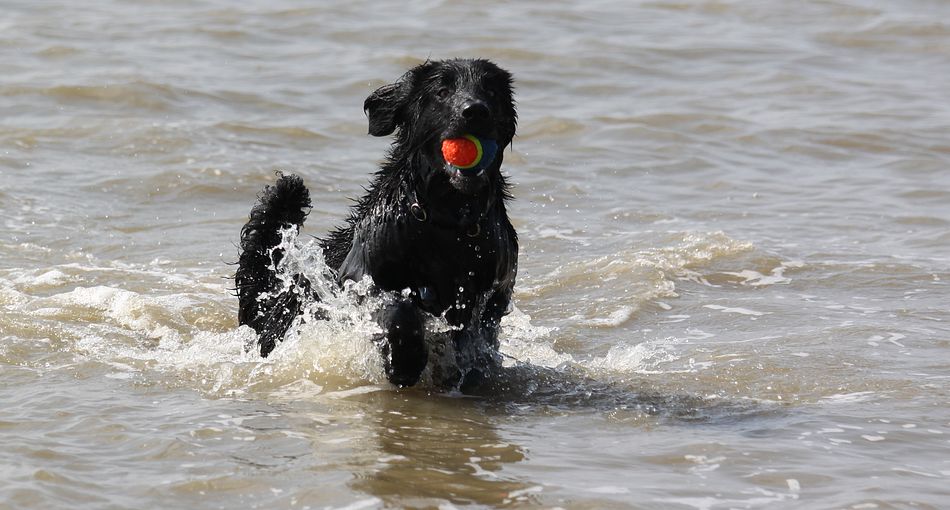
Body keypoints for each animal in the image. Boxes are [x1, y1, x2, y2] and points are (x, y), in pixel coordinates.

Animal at [235, 58, 518, 389]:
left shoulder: (494, 288)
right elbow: (397, 310)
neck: (446, 220)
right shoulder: (362, 274)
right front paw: (404, 363)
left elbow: (475, 333)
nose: (475, 111)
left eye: (491, 91)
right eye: (442, 91)